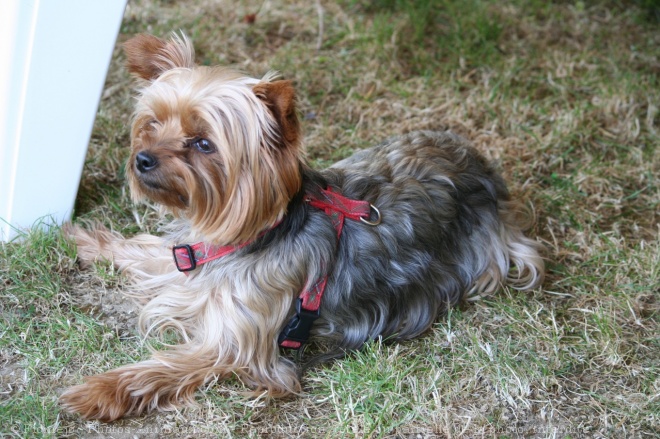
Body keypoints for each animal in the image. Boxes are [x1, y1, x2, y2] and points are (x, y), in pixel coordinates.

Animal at [60, 33, 548, 422]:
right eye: (154, 122)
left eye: (203, 144)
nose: (142, 159)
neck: (248, 236)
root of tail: (481, 165)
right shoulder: (187, 263)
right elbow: (141, 249)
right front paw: (83, 238)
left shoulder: (238, 344)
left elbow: (164, 368)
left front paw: (101, 390)